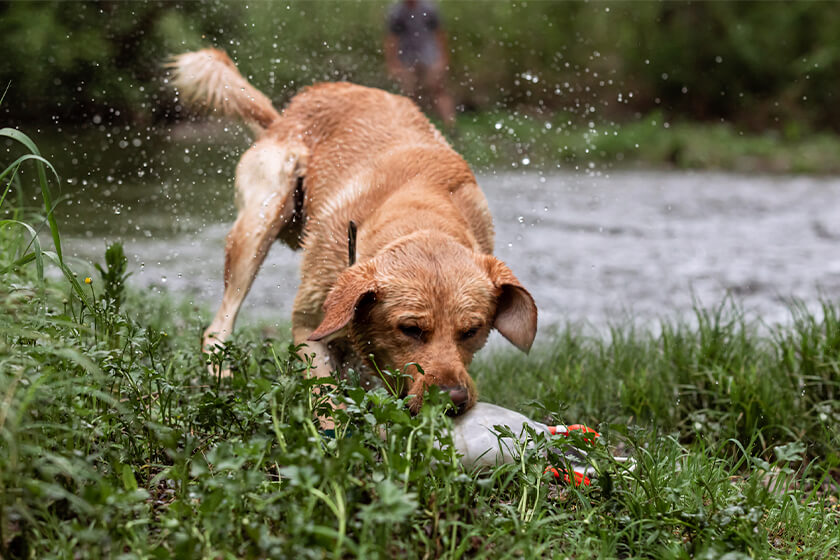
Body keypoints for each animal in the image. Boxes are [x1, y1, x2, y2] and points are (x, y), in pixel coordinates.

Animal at [169, 48, 540, 414]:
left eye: (472, 330)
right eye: (410, 329)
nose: (453, 401)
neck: (418, 208)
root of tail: (288, 112)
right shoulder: (309, 326)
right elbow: (327, 401)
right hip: (259, 222)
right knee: (218, 327)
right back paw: (221, 377)